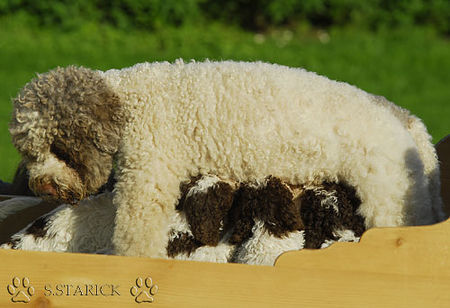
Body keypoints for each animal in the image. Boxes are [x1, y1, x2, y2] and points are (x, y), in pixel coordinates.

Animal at [8, 59, 444, 258]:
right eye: (30, 152)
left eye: (61, 149)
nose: (43, 185)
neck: (129, 100)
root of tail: (403, 120)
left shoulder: (148, 176)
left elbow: (136, 235)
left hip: (393, 203)